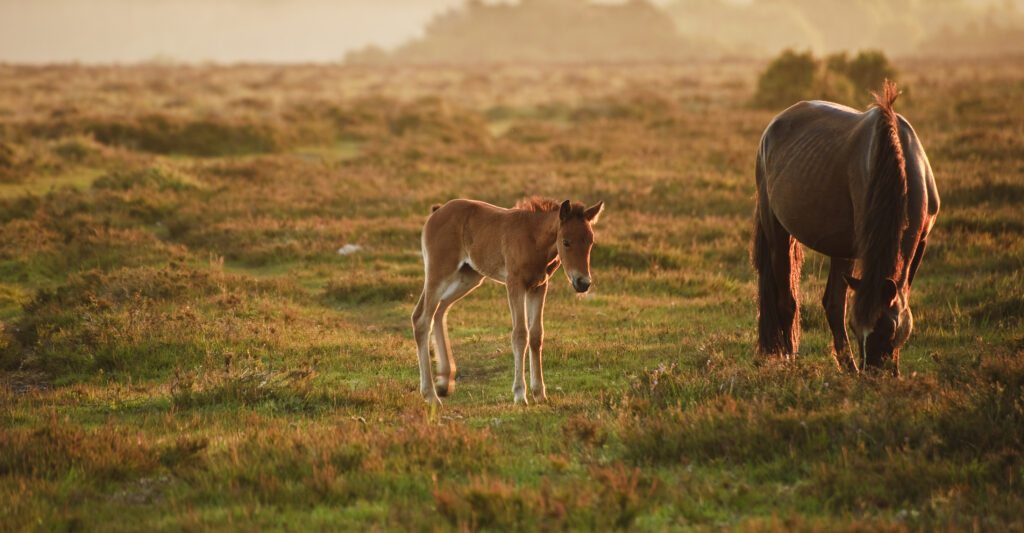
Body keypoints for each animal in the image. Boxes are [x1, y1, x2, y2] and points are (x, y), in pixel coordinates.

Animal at [411, 195, 598, 403]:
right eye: (566, 242)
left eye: (591, 241)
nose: (583, 283)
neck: (533, 239)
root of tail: (436, 212)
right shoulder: (514, 284)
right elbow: (520, 334)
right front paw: (520, 394)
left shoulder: (539, 286)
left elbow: (536, 335)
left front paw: (540, 393)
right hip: (438, 273)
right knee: (421, 319)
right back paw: (430, 394)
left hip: (469, 276)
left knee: (440, 310)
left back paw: (444, 382)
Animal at [749, 81, 937, 374]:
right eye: (857, 328)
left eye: (888, 328)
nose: (874, 374)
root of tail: (774, 124)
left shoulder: (921, 242)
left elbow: (903, 295)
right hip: (778, 232)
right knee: (787, 302)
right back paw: (792, 359)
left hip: (840, 247)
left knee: (833, 303)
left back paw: (847, 366)